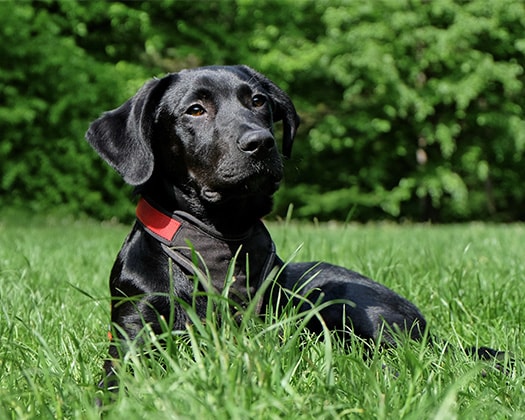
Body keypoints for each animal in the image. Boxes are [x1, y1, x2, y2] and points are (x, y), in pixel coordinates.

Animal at [87, 65, 500, 388]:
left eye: (258, 101)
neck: (219, 238)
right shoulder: (133, 331)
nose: (261, 142)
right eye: (196, 110)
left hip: (344, 301)